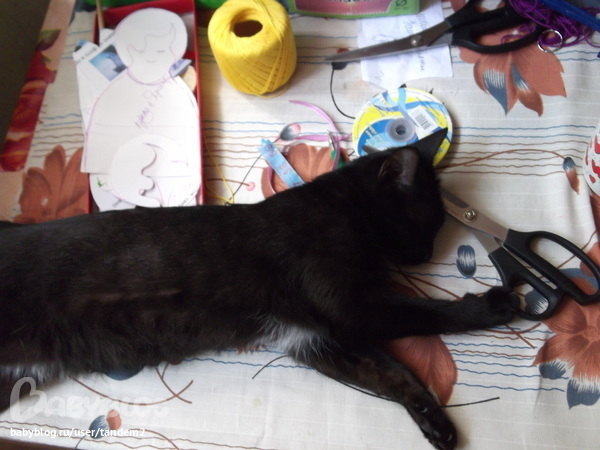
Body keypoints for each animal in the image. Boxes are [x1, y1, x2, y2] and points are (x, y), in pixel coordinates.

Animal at [0, 129, 517, 450]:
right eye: (428, 222)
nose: (427, 255)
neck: (342, 206)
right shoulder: (350, 308)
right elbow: (430, 312)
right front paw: (497, 304)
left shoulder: (313, 339)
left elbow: (393, 375)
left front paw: (436, 424)